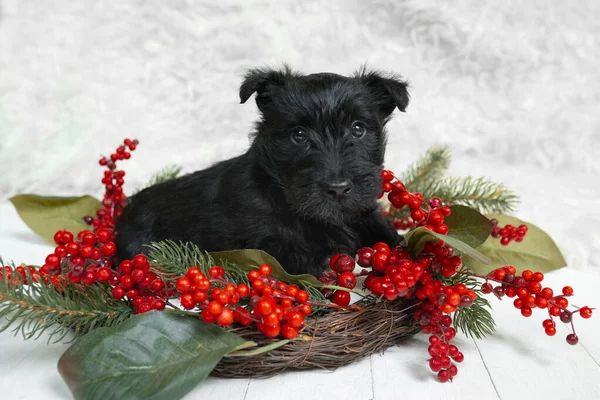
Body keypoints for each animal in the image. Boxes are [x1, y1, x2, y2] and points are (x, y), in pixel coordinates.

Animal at [115, 66, 410, 278]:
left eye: (358, 129)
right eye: (298, 135)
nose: (337, 188)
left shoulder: (366, 215)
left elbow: (394, 240)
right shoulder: (261, 245)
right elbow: (299, 258)